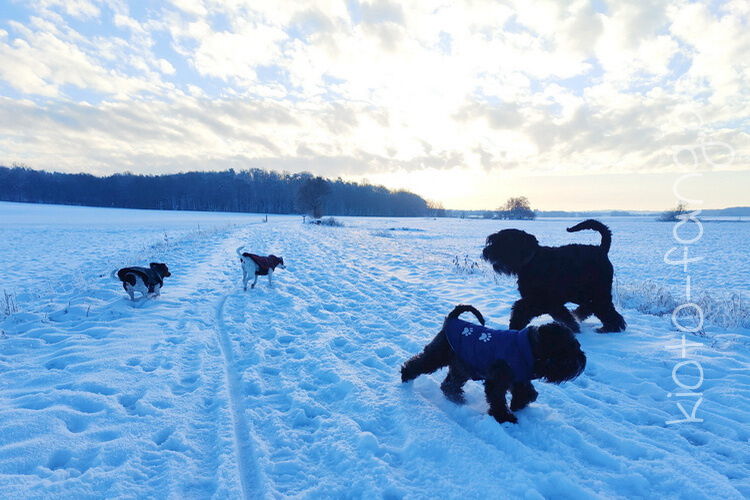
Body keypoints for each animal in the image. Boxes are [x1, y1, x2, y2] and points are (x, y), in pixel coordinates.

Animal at [401, 305, 586, 424]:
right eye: (566, 348)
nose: (581, 361)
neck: (529, 348)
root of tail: (452, 318)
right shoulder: (498, 381)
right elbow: (498, 399)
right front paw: (505, 418)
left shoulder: (517, 377)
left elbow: (527, 392)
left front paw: (518, 405)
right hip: (438, 356)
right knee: (418, 364)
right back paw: (405, 377)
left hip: (462, 367)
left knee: (449, 384)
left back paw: (458, 399)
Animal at [481, 219, 626, 333]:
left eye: (503, 241)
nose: (485, 251)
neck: (531, 260)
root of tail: (601, 250)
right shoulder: (550, 302)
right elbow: (562, 314)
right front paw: (572, 326)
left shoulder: (539, 299)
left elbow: (520, 309)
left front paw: (514, 326)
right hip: (586, 293)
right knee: (590, 307)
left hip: (597, 292)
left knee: (605, 309)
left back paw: (610, 328)